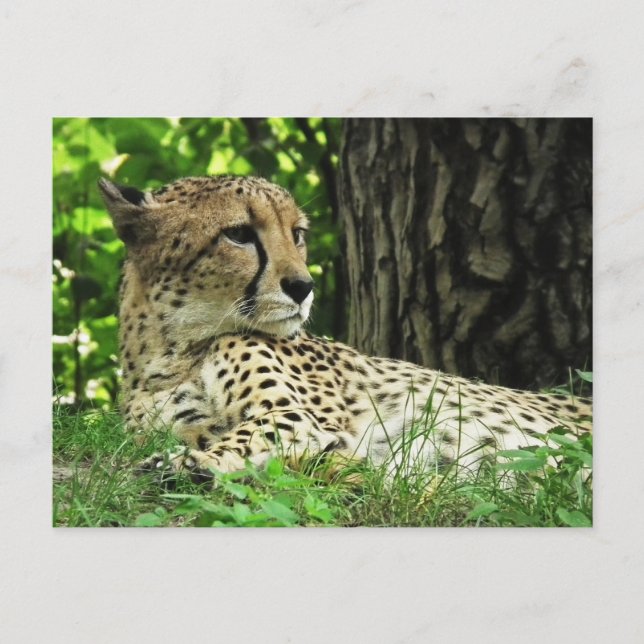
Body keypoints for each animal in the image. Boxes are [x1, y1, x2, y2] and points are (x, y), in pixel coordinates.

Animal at [98, 174, 592, 483]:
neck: (171, 350)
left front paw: (186, 464)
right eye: (238, 234)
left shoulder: (296, 418)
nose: (303, 286)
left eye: (297, 234)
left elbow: (244, 439)